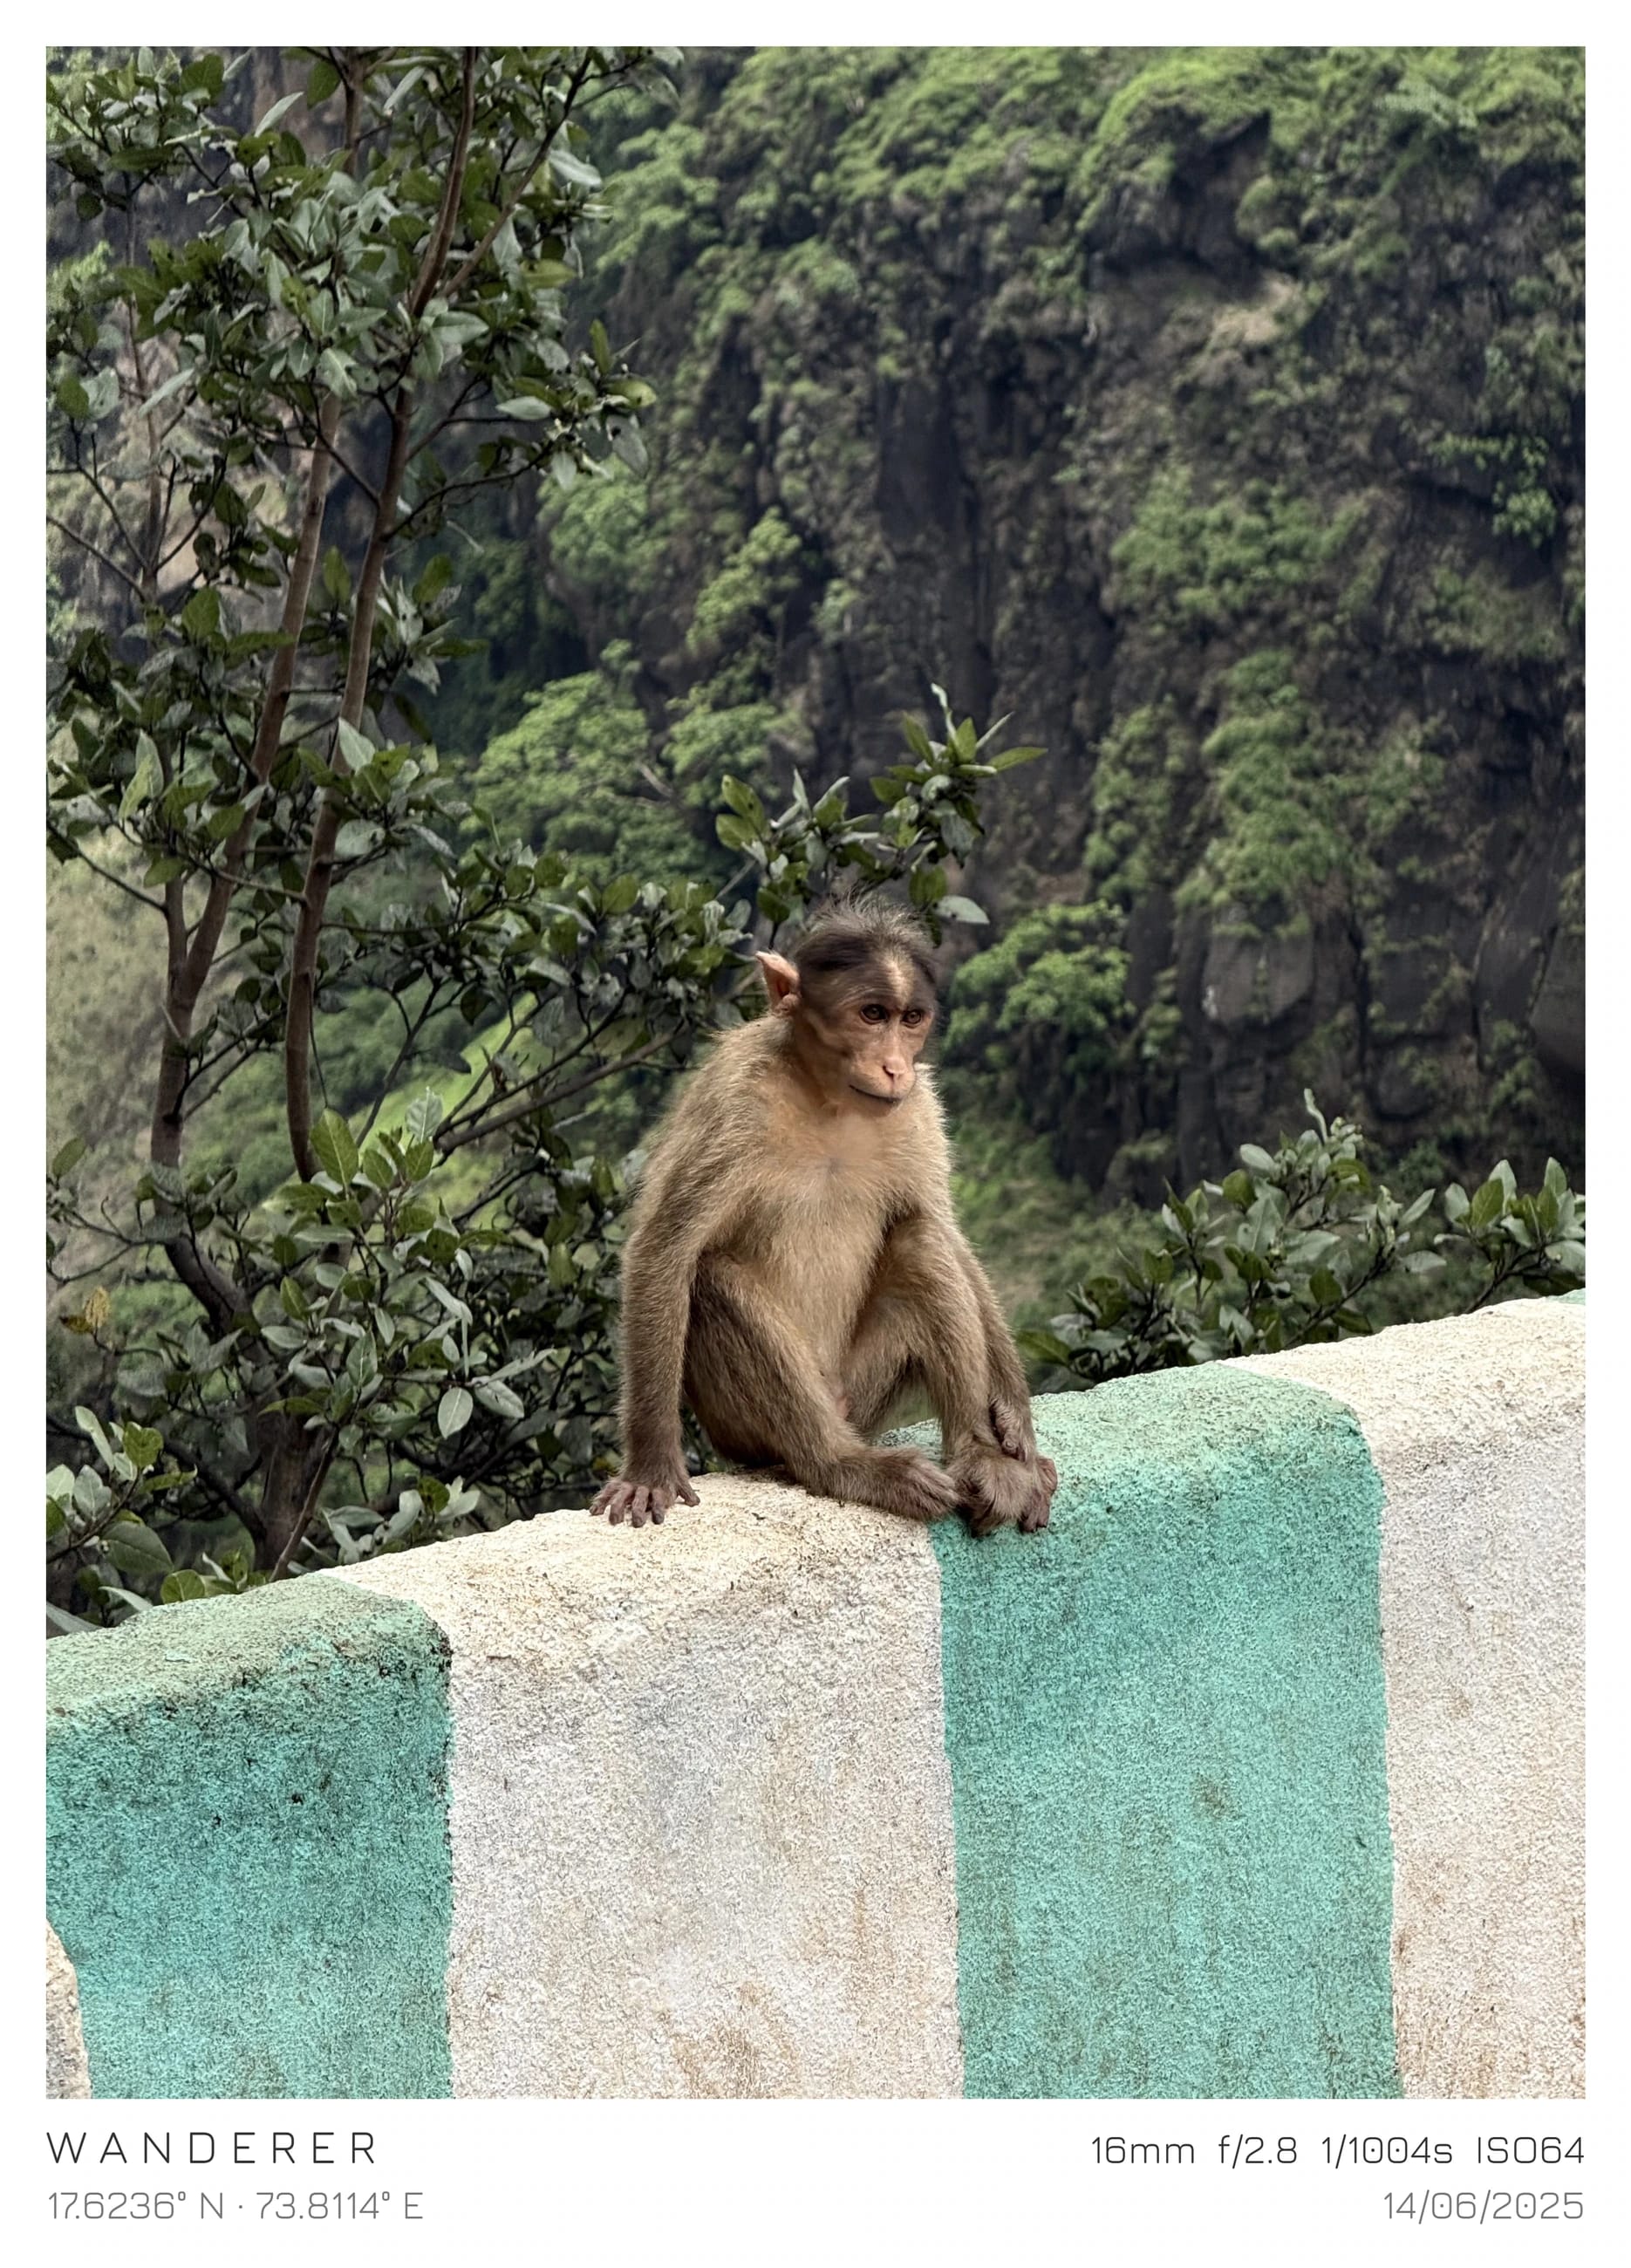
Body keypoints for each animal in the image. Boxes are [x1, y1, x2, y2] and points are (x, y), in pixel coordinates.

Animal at [590, 898, 1059, 1539]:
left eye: (911, 1019)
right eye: (871, 1014)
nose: (895, 1066)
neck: (827, 1096)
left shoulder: (919, 1109)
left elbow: (942, 1226)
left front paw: (1015, 1417)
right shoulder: (733, 1098)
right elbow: (666, 1250)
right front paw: (651, 1465)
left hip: (864, 1393)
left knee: (920, 1240)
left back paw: (980, 1456)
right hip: (745, 1427)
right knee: (712, 1277)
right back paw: (841, 1465)